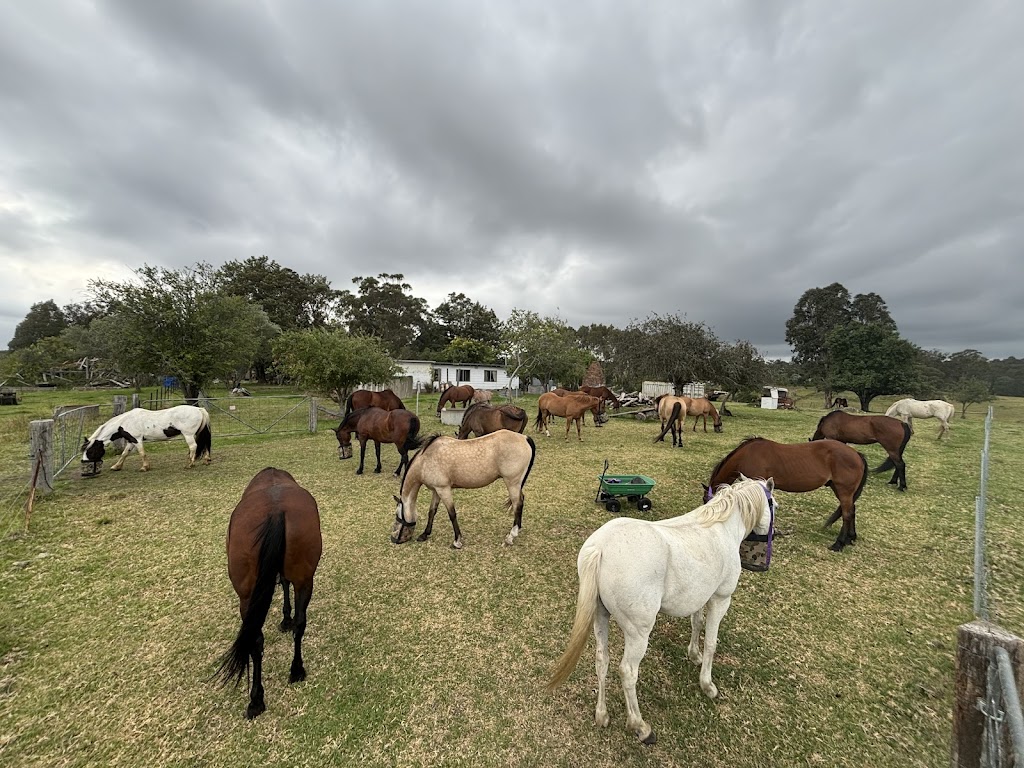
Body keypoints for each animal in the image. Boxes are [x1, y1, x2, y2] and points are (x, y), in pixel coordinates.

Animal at [80, 405, 212, 474]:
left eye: (90, 451)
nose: (85, 463)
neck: (125, 422)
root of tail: (199, 409)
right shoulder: (131, 441)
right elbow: (124, 454)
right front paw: (116, 466)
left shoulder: (137, 440)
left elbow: (142, 453)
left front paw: (144, 467)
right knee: (205, 445)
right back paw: (206, 460)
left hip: (188, 435)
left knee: (193, 447)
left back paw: (190, 464)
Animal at [213, 467, 322, 719]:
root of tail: (275, 510)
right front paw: (286, 618)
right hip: (305, 577)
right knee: (301, 623)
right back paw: (296, 669)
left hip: (246, 596)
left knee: (255, 638)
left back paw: (256, 699)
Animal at [391, 431, 537, 549]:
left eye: (397, 515)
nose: (394, 539)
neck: (425, 460)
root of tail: (524, 438)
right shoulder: (436, 490)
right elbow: (432, 512)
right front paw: (424, 534)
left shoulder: (444, 489)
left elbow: (452, 514)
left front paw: (457, 541)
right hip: (516, 484)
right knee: (521, 501)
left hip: (512, 483)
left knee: (517, 504)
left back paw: (511, 536)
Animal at [548, 476, 776, 745]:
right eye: (774, 505)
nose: (772, 535)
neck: (721, 528)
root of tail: (600, 548)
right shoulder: (721, 599)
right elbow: (711, 642)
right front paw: (707, 684)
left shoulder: (701, 597)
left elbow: (696, 624)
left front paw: (694, 655)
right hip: (638, 633)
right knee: (627, 672)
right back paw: (640, 727)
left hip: (600, 618)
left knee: (602, 660)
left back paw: (602, 715)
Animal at [704, 437, 868, 551]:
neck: (747, 455)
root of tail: (856, 454)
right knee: (852, 511)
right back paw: (850, 538)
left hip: (844, 491)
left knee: (847, 514)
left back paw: (839, 544)